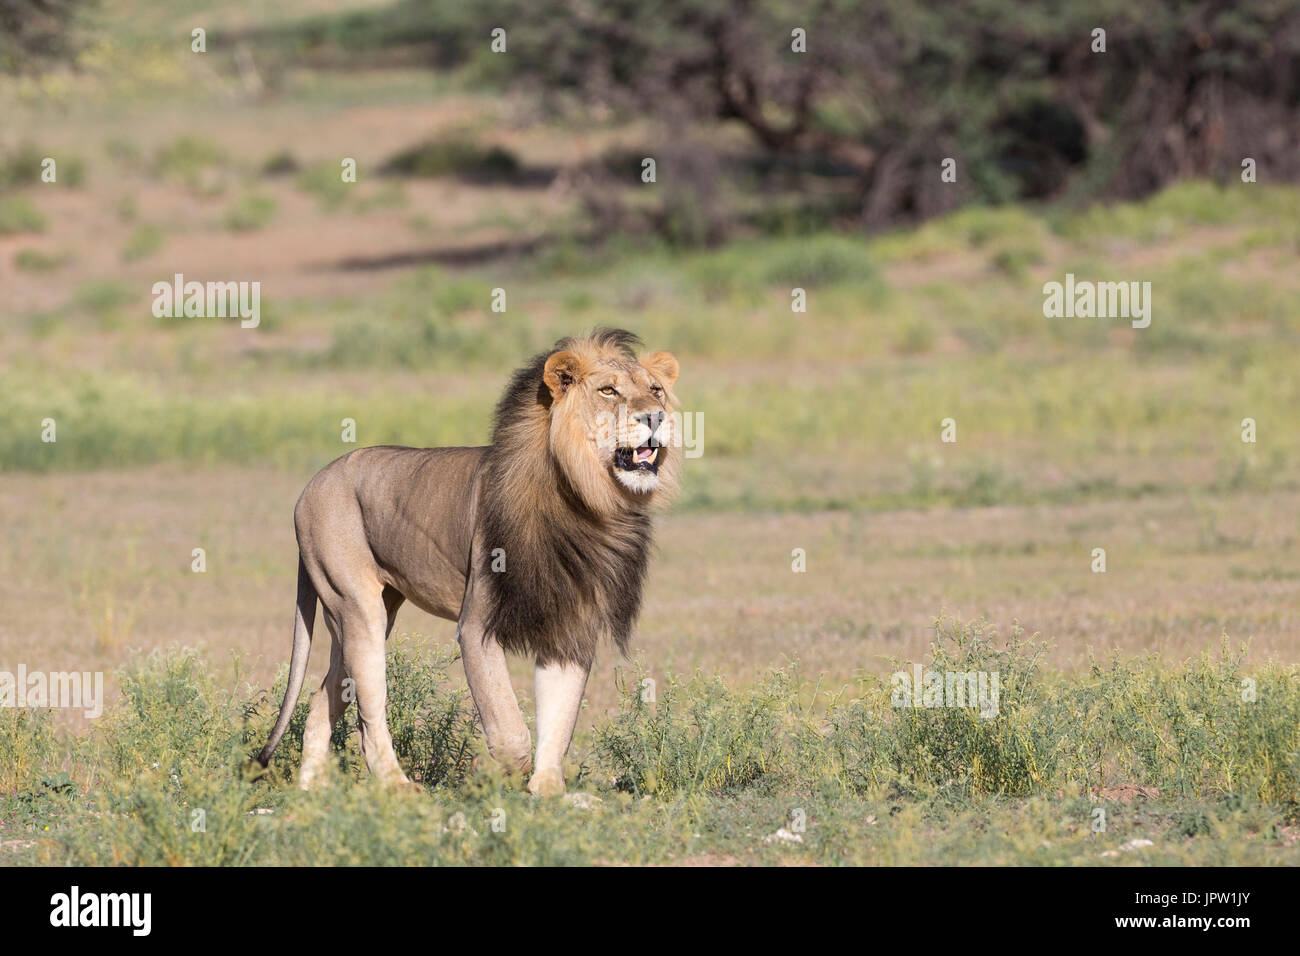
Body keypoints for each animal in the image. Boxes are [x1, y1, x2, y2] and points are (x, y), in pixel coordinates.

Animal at [255, 328, 680, 796]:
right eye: (608, 391)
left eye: (655, 390)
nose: (655, 417)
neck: (586, 502)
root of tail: (311, 484)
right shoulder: (477, 625)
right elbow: (510, 727)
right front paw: (489, 772)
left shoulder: (569, 623)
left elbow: (559, 719)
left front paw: (548, 789)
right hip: (356, 607)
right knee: (370, 711)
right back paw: (396, 786)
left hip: (363, 616)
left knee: (321, 701)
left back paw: (310, 791)